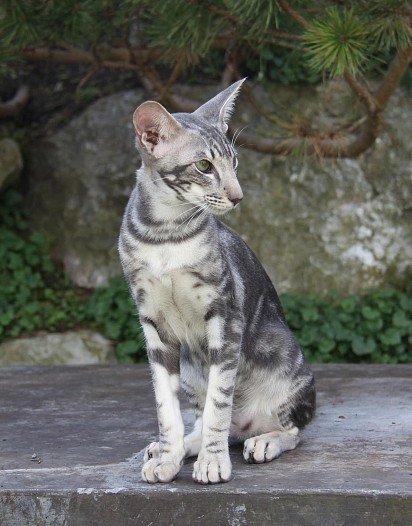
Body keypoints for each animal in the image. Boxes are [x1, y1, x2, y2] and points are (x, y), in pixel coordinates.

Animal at [118, 80, 316, 488]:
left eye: (234, 162)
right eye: (204, 166)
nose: (237, 196)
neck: (165, 236)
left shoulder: (225, 317)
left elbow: (218, 404)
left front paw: (212, 463)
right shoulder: (154, 326)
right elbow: (167, 408)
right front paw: (169, 456)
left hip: (289, 368)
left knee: (290, 429)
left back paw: (264, 442)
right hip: (192, 368)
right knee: (202, 419)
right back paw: (174, 448)